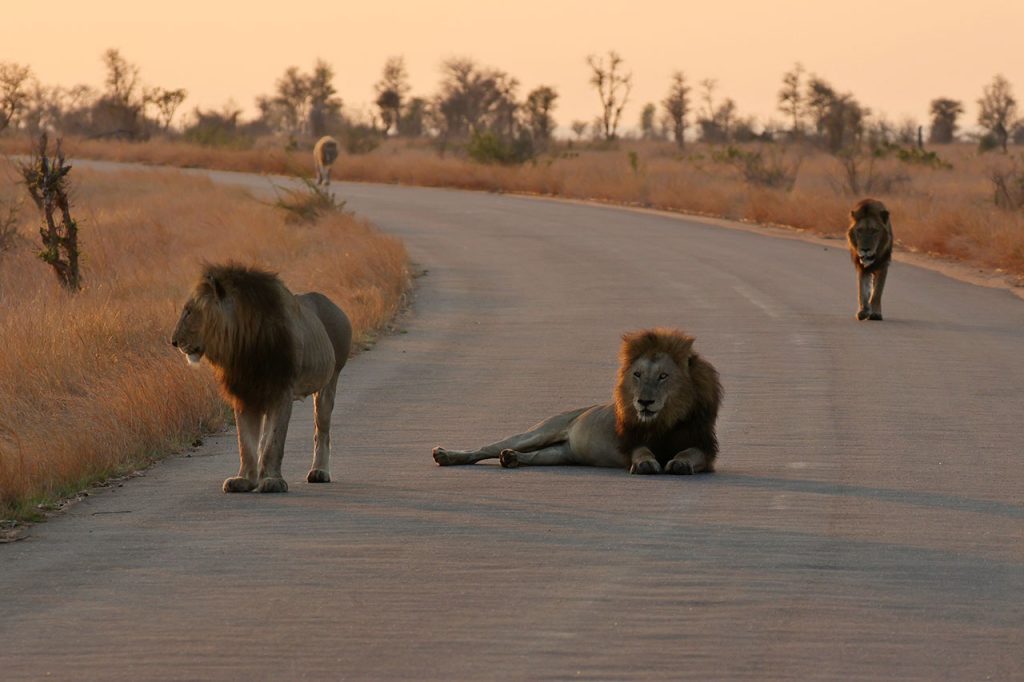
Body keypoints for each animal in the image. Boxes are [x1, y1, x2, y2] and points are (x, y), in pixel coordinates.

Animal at [171, 263, 352, 493]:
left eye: (189, 311)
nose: (174, 341)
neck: (242, 345)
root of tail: (331, 303)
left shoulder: (281, 391)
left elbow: (274, 441)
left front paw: (272, 481)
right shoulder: (244, 392)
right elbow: (247, 442)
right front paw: (245, 479)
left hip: (329, 382)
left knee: (322, 431)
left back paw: (319, 472)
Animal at [432, 328, 722, 475]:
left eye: (663, 376)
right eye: (637, 375)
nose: (644, 402)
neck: (664, 418)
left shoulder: (703, 448)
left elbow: (689, 453)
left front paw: (680, 463)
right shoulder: (632, 441)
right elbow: (642, 452)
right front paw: (646, 464)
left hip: (560, 454)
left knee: (534, 456)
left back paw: (511, 458)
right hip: (540, 431)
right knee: (487, 447)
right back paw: (446, 455)